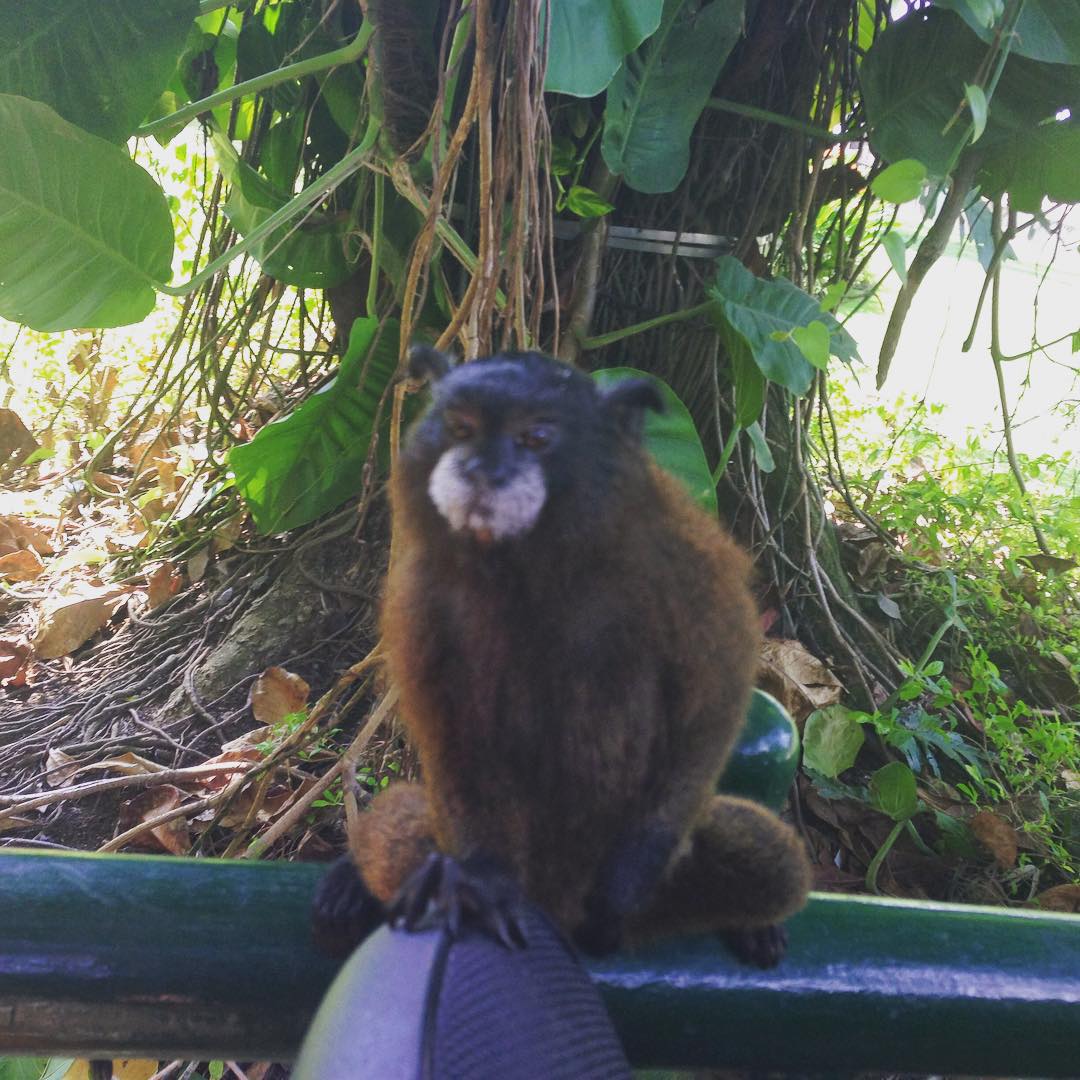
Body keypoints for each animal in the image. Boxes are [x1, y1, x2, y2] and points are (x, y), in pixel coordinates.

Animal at [315, 349, 812, 967]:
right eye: (461, 428)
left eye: (535, 438)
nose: (480, 471)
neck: (530, 564)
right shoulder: (418, 597)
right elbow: (453, 741)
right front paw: (476, 882)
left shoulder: (680, 557)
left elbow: (713, 699)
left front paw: (630, 873)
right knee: (399, 833)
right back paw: (362, 885)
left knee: (773, 862)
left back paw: (751, 924)